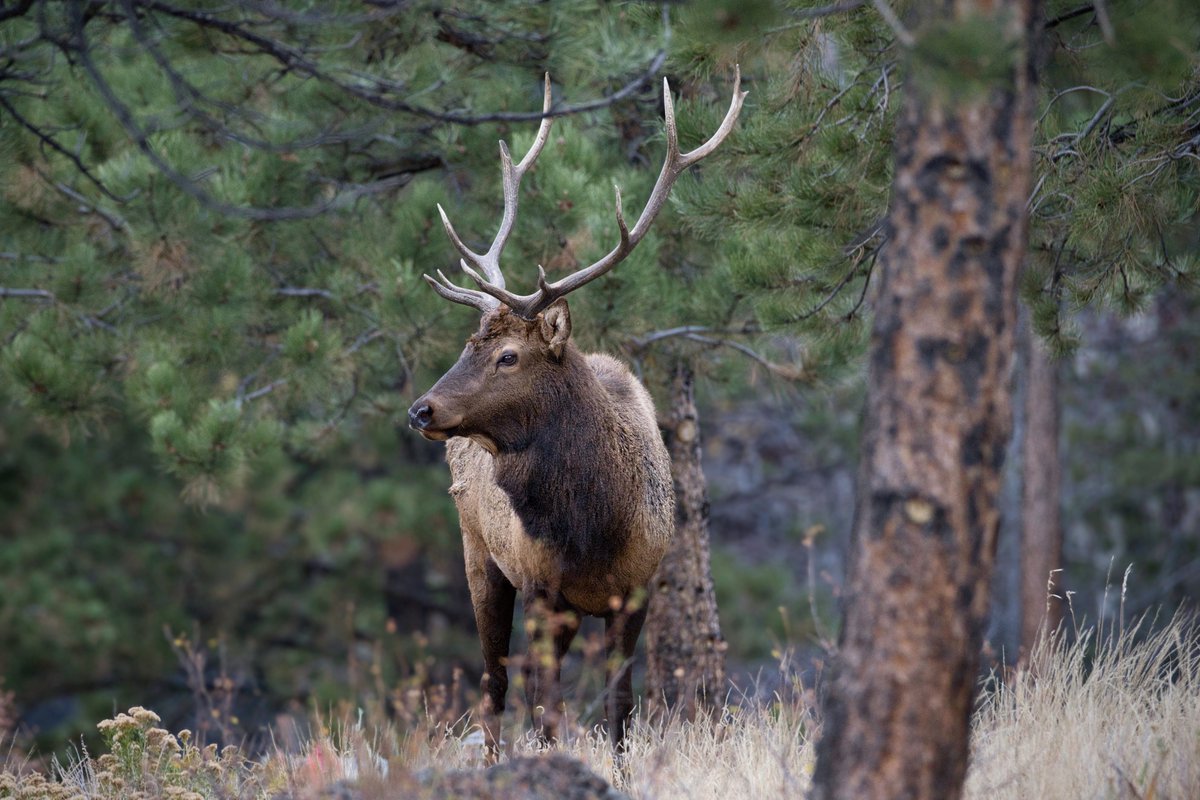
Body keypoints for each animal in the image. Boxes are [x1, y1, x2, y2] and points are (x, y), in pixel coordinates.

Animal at [407, 70, 745, 760]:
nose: (422, 408)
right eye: (468, 344)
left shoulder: (636, 588)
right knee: (495, 680)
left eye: (508, 355)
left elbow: (621, 707)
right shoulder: (541, 584)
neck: (593, 523)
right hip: (480, 554)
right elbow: (547, 705)